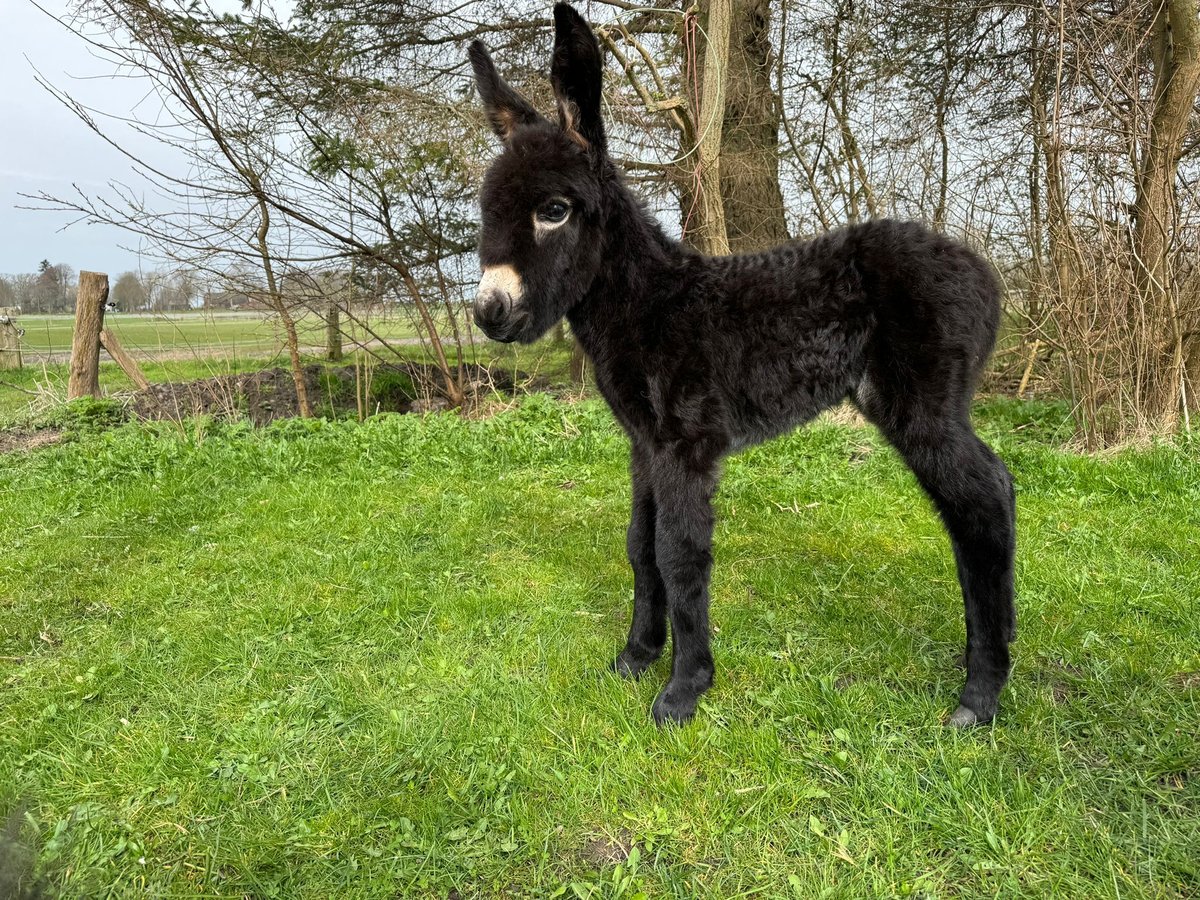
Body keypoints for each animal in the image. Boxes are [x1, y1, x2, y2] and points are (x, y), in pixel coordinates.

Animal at [465, 3, 1012, 729]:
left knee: (984, 500)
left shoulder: (687, 443)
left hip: (922, 404)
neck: (651, 303)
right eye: (486, 211)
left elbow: (679, 553)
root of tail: (982, 268)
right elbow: (639, 546)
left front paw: (683, 690)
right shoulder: (645, 445)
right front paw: (636, 657)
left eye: (553, 210)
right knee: (979, 499)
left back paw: (980, 694)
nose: (489, 313)